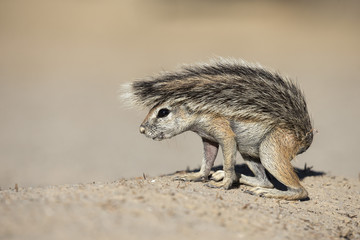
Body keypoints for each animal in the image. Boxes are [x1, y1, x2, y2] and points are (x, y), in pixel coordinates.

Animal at [122, 58, 314, 201]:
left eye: (163, 112)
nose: (141, 129)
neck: (199, 111)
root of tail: (303, 135)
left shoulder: (222, 130)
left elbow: (228, 159)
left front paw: (224, 183)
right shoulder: (208, 139)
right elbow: (207, 160)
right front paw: (196, 176)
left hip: (271, 150)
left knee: (300, 191)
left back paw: (266, 192)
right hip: (249, 152)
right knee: (265, 181)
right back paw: (235, 177)